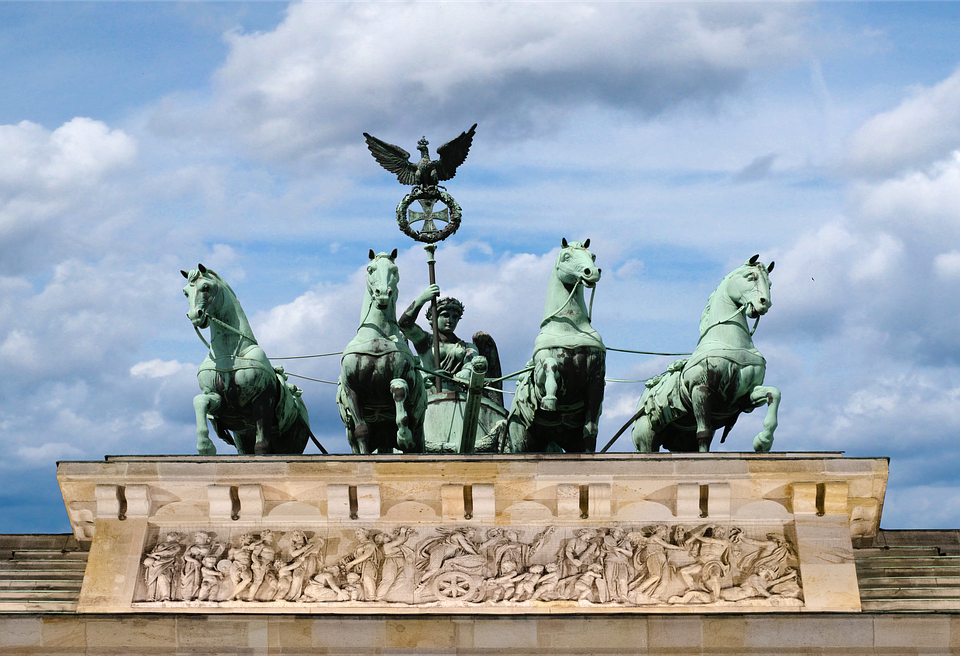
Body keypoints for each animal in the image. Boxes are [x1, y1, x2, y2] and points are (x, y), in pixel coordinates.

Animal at [340, 249, 426, 454]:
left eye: (394, 270)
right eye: (370, 269)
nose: (383, 294)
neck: (377, 337)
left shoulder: (403, 376)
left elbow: (399, 390)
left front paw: (403, 436)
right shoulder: (351, 389)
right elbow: (362, 430)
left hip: (417, 427)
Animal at [502, 238, 608, 454]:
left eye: (593, 256)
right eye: (566, 256)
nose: (591, 272)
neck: (569, 328)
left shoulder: (596, 378)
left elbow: (590, 429)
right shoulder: (541, 377)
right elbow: (550, 366)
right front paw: (550, 400)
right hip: (522, 440)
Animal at [632, 254, 780, 454]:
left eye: (769, 283)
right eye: (750, 277)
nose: (765, 303)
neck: (726, 341)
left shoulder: (744, 395)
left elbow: (774, 394)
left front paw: (763, 441)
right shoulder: (700, 390)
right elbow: (704, 434)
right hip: (646, 440)